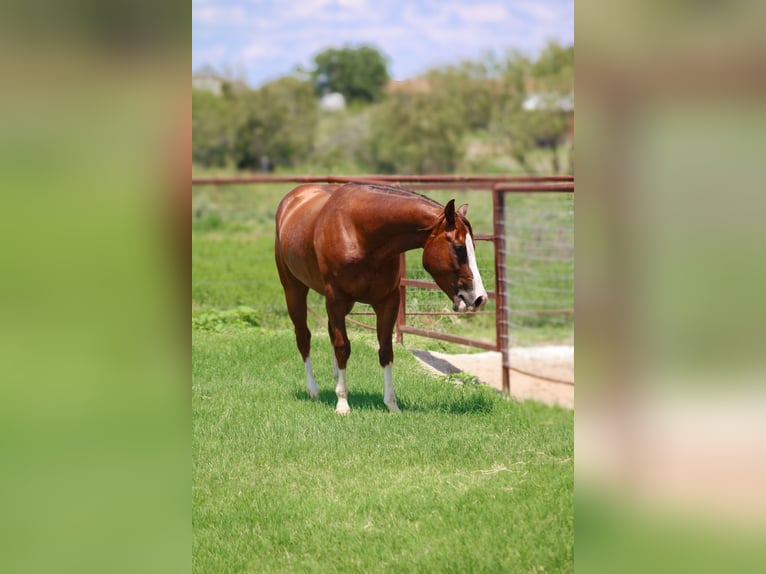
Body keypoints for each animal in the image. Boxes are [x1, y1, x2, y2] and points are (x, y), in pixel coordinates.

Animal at [276, 183, 488, 414]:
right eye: (459, 248)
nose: (479, 298)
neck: (360, 233)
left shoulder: (387, 302)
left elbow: (386, 351)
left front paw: (391, 405)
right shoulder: (336, 299)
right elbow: (343, 347)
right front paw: (342, 404)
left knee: (331, 332)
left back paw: (334, 378)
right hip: (294, 290)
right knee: (304, 337)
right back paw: (313, 389)